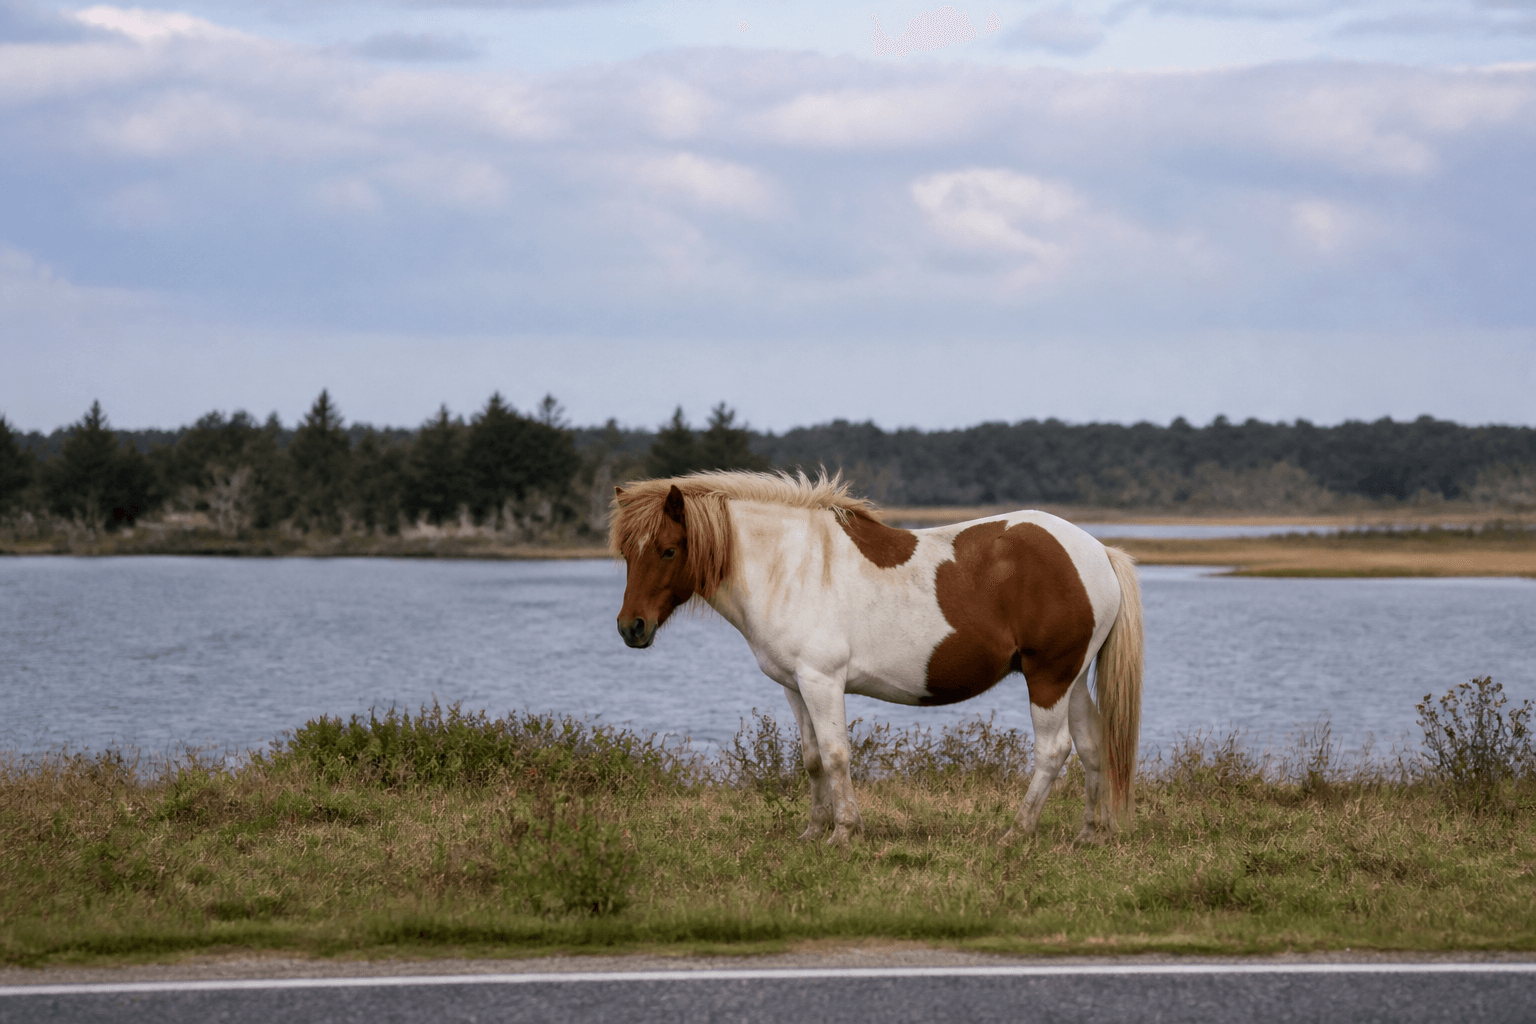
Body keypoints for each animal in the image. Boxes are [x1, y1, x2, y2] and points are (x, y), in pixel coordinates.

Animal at [610, 470, 1143, 846]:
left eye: (668, 550)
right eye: (627, 554)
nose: (631, 628)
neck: (791, 566)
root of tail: (1098, 551)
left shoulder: (822, 681)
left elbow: (837, 754)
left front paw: (845, 832)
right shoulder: (794, 685)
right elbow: (812, 759)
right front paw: (813, 831)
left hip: (1048, 677)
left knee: (1053, 752)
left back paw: (1016, 832)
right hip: (1071, 679)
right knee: (1091, 746)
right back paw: (1089, 834)